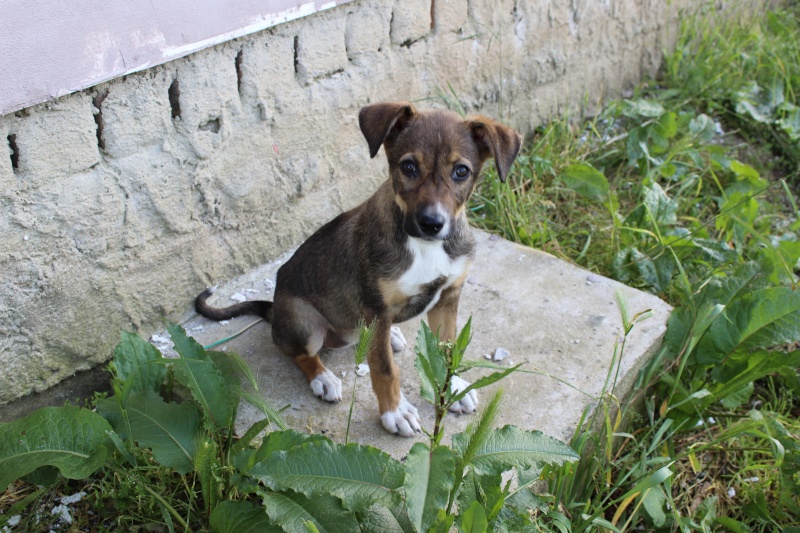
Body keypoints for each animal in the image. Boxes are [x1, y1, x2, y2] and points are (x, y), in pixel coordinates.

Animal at [193, 101, 520, 436]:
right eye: (408, 167)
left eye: (461, 171)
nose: (431, 223)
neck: (423, 246)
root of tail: (274, 309)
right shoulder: (376, 308)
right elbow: (385, 369)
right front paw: (395, 412)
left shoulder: (448, 296)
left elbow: (448, 351)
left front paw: (452, 388)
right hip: (304, 321)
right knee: (300, 353)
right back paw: (323, 378)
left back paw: (390, 336)